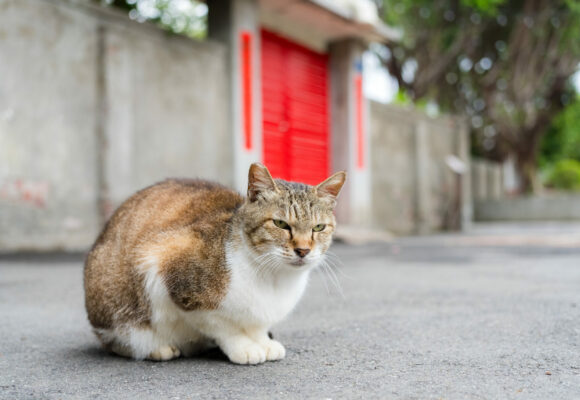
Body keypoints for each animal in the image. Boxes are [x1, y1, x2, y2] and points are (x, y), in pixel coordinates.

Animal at [84, 163, 346, 366]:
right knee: (118, 339)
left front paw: (263, 341)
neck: (274, 278)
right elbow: (222, 325)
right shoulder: (167, 267)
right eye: (281, 224)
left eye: (318, 227)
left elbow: (258, 325)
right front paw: (244, 347)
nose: (303, 250)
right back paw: (156, 348)